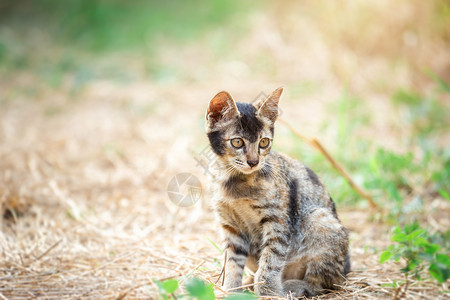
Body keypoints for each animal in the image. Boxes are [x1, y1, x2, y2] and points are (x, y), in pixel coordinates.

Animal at [205, 88, 352, 296]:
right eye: (237, 142)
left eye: (264, 142)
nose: (253, 162)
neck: (234, 181)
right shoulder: (230, 225)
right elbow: (232, 262)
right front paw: (231, 290)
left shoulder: (277, 220)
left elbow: (271, 259)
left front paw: (268, 290)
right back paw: (249, 282)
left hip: (320, 218)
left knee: (326, 281)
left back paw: (294, 286)